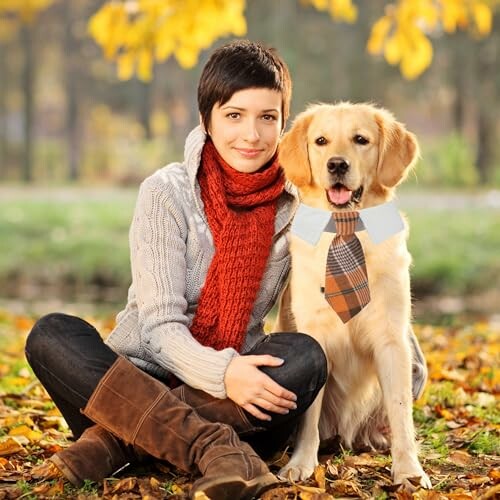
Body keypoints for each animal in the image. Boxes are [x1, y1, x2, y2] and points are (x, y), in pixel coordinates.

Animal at [276, 101, 432, 488]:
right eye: (321, 141)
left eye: (360, 140)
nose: (337, 164)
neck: (345, 227)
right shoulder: (313, 333)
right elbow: (310, 416)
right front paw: (301, 463)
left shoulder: (392, 339)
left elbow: (401, 412)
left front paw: (409, 469)